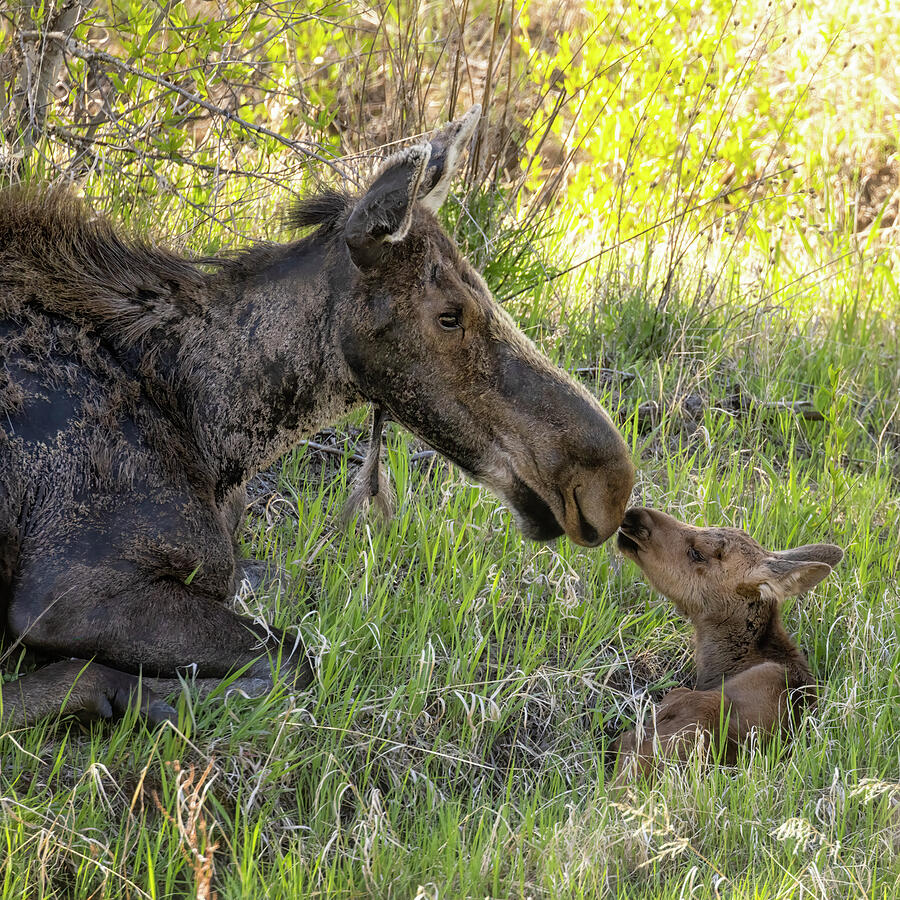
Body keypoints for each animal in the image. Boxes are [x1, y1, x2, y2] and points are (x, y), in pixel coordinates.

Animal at [0, 105, 632, 728]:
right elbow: (296, 657)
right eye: (450, 314)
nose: (608, 483)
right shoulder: (68, 596)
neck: (216, 434)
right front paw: (153, 696)